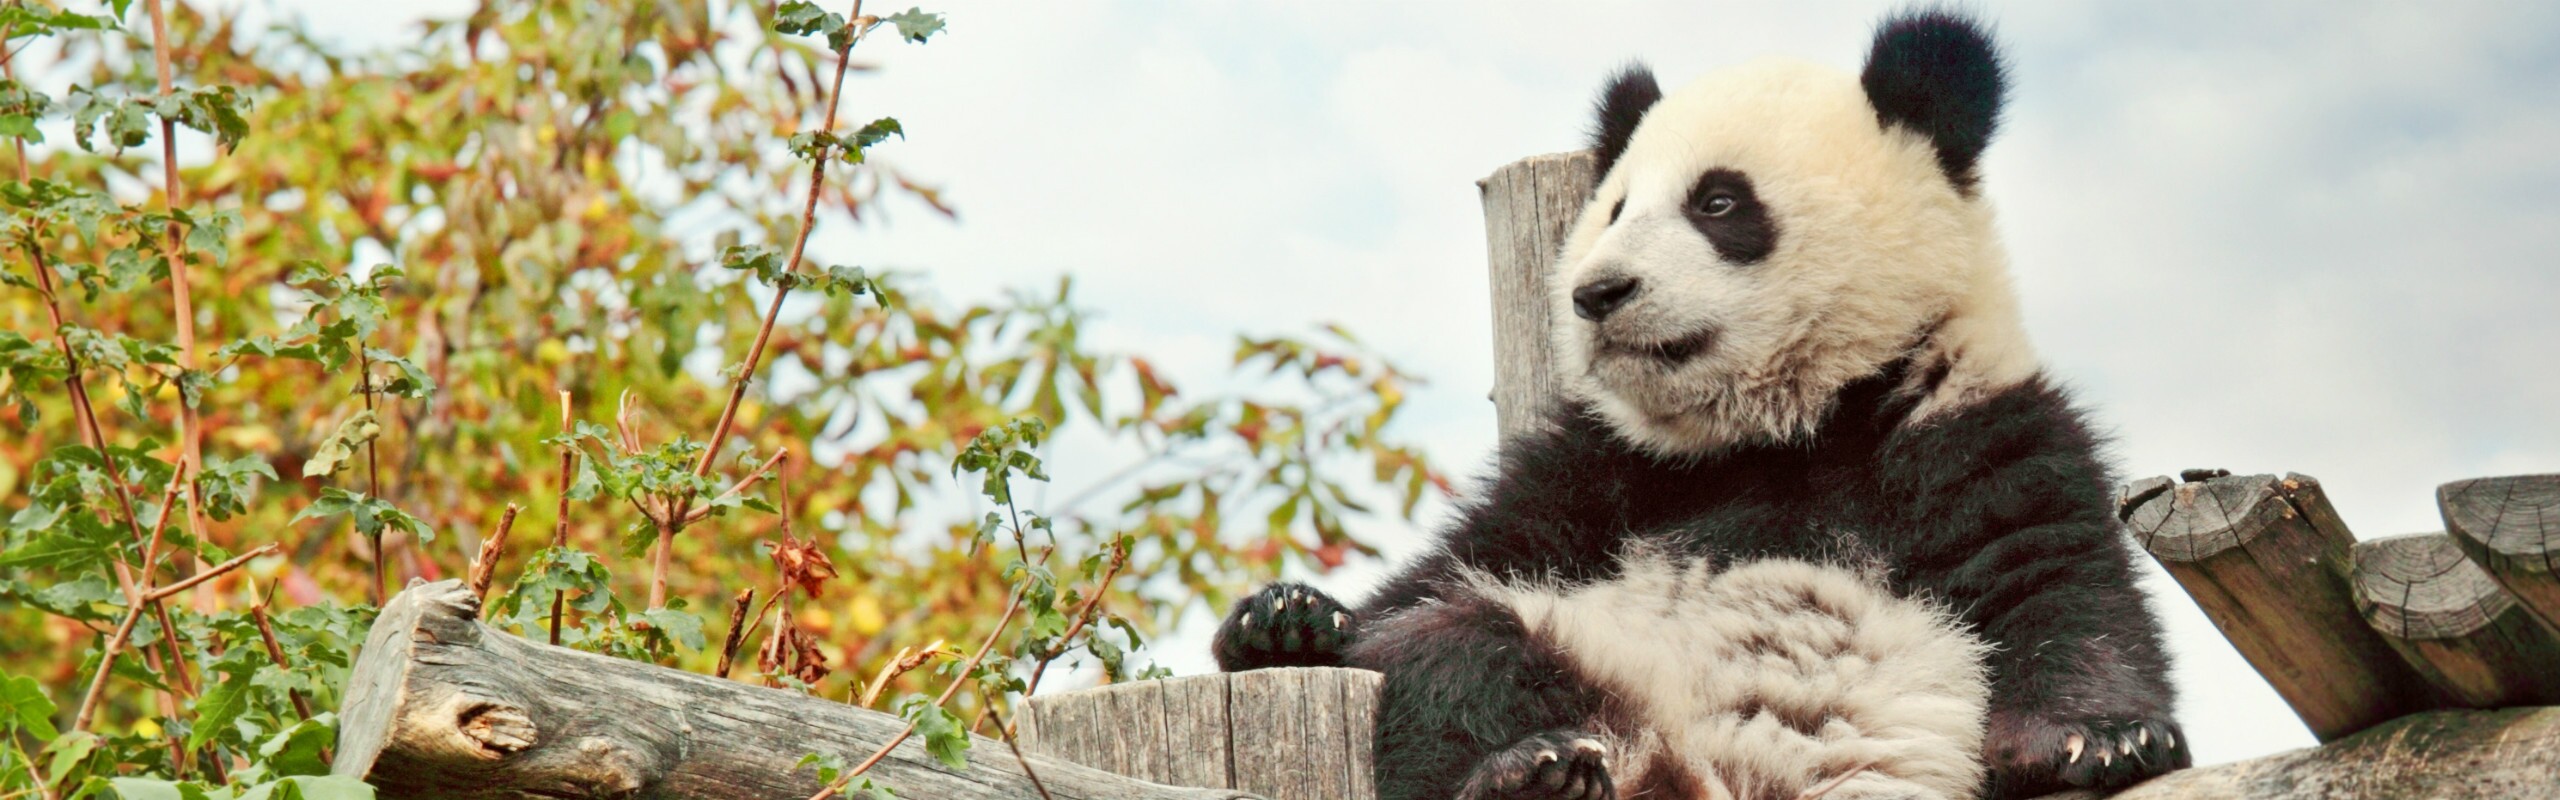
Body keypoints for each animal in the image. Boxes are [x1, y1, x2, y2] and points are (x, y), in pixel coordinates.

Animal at [1213, 9, 2189, 800]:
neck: (1783, 425)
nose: (1598, 292)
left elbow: (2056, 574)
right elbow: (1453, 565)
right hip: (1590, 656)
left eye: (1718, 201)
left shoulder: (1965, 417)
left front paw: (2099, 739)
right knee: (1452, 642)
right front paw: (1285, 617)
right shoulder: (1598, 469)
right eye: (1612, 210)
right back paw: (1531, 767)